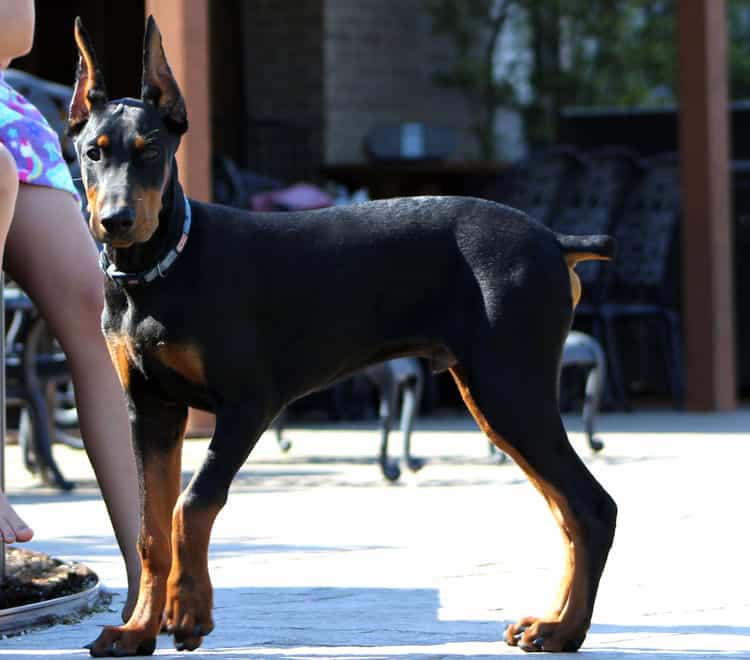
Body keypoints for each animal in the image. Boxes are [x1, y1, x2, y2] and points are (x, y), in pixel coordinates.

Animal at [72, 14, 616, 656]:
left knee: (592, 506)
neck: (159, 270)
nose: (116, 222)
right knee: (567, 510)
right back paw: (554, 622)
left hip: (509, 388)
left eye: (151, 150)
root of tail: (554, 239)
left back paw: (566, 629)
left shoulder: (249, 401)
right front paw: (137, 630)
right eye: (92, 153)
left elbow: (193, 501)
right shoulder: (150, 409)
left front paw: (188, 611)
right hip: (497, 396)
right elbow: (150, 528)